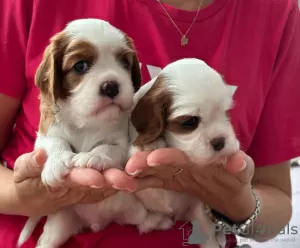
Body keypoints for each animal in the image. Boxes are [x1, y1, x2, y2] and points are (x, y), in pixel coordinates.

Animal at [18, 18, 172, 248]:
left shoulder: (120, 142)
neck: (87, 119)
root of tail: (97, 222)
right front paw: (56, 162)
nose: (111, 86)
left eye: (124, 64)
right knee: (47, 241)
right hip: (59, 223)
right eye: (80, 66)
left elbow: (108, 147)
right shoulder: (45, 133)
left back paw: (160, 220)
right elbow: (55, 143)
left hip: (133, 209)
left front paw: (93, 157)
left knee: (143, 220)